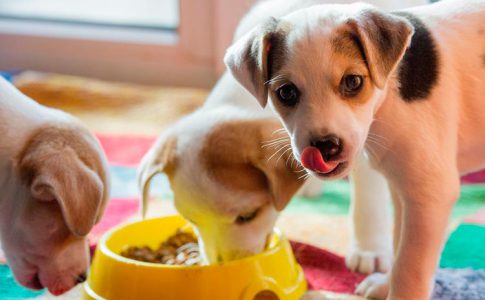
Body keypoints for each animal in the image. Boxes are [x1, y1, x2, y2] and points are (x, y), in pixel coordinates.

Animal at [226, 1, 484, 298]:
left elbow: (410, 268)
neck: (388, 98)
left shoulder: (430, 195)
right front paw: (384, 284)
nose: (325, 146)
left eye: (353, 82)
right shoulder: (403, 188)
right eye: (286, 92)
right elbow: (398, 245)